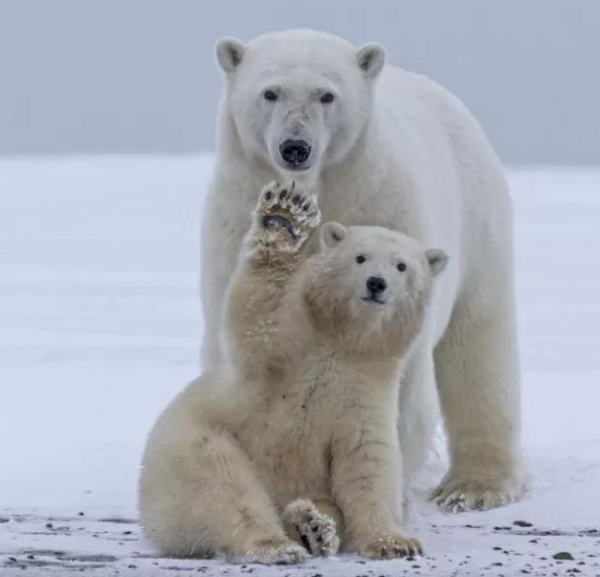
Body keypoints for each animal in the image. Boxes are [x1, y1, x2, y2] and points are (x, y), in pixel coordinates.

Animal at [141, 182, 448, 560]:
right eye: (360, 257)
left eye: (402, 266)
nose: (377, 283)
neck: (343, 342)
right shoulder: (290, 351)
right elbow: (259, 319)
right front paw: (285, 217)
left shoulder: (366, 390)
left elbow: (367, 461)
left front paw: (395, 542)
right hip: (194, 444)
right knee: (224, 486)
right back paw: (275, 543)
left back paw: (313, 527)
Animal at [199, 30, 524, 508]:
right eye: (270, 92)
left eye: (327, 94)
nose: (295, 147)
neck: (321, 187)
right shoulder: (235, 217)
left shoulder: (382, 205)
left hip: (480, 224)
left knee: (478, 343)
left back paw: (475, 486)